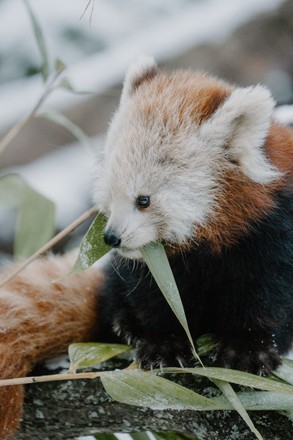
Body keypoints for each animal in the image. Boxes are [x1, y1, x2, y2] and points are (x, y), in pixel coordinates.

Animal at [0, 56, 292, 438]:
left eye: (144, 200)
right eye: (111, 193)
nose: (111, 238)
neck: (209, 241)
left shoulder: (270, 232)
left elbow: (268, 295)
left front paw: (248, 349)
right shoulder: (151, 266)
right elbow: (151, 295)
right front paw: (160, 343)